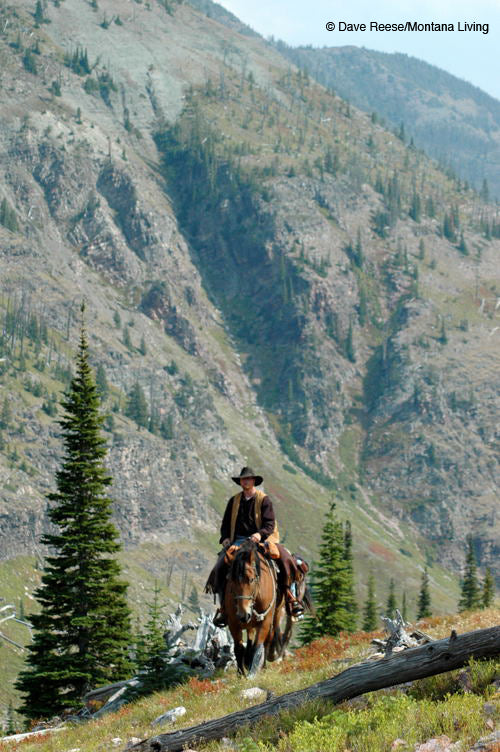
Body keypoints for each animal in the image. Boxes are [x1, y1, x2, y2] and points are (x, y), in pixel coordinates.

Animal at [227, 540, 286, 676]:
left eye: (251, 579)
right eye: (231, 580)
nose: (243, 615)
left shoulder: (265, 622)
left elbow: (258, 646)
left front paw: (252, 673)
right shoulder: (233, 623)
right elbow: (238, 648)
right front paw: (240, 674)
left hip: (275, 616)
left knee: (267, 641)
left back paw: (262, 666)